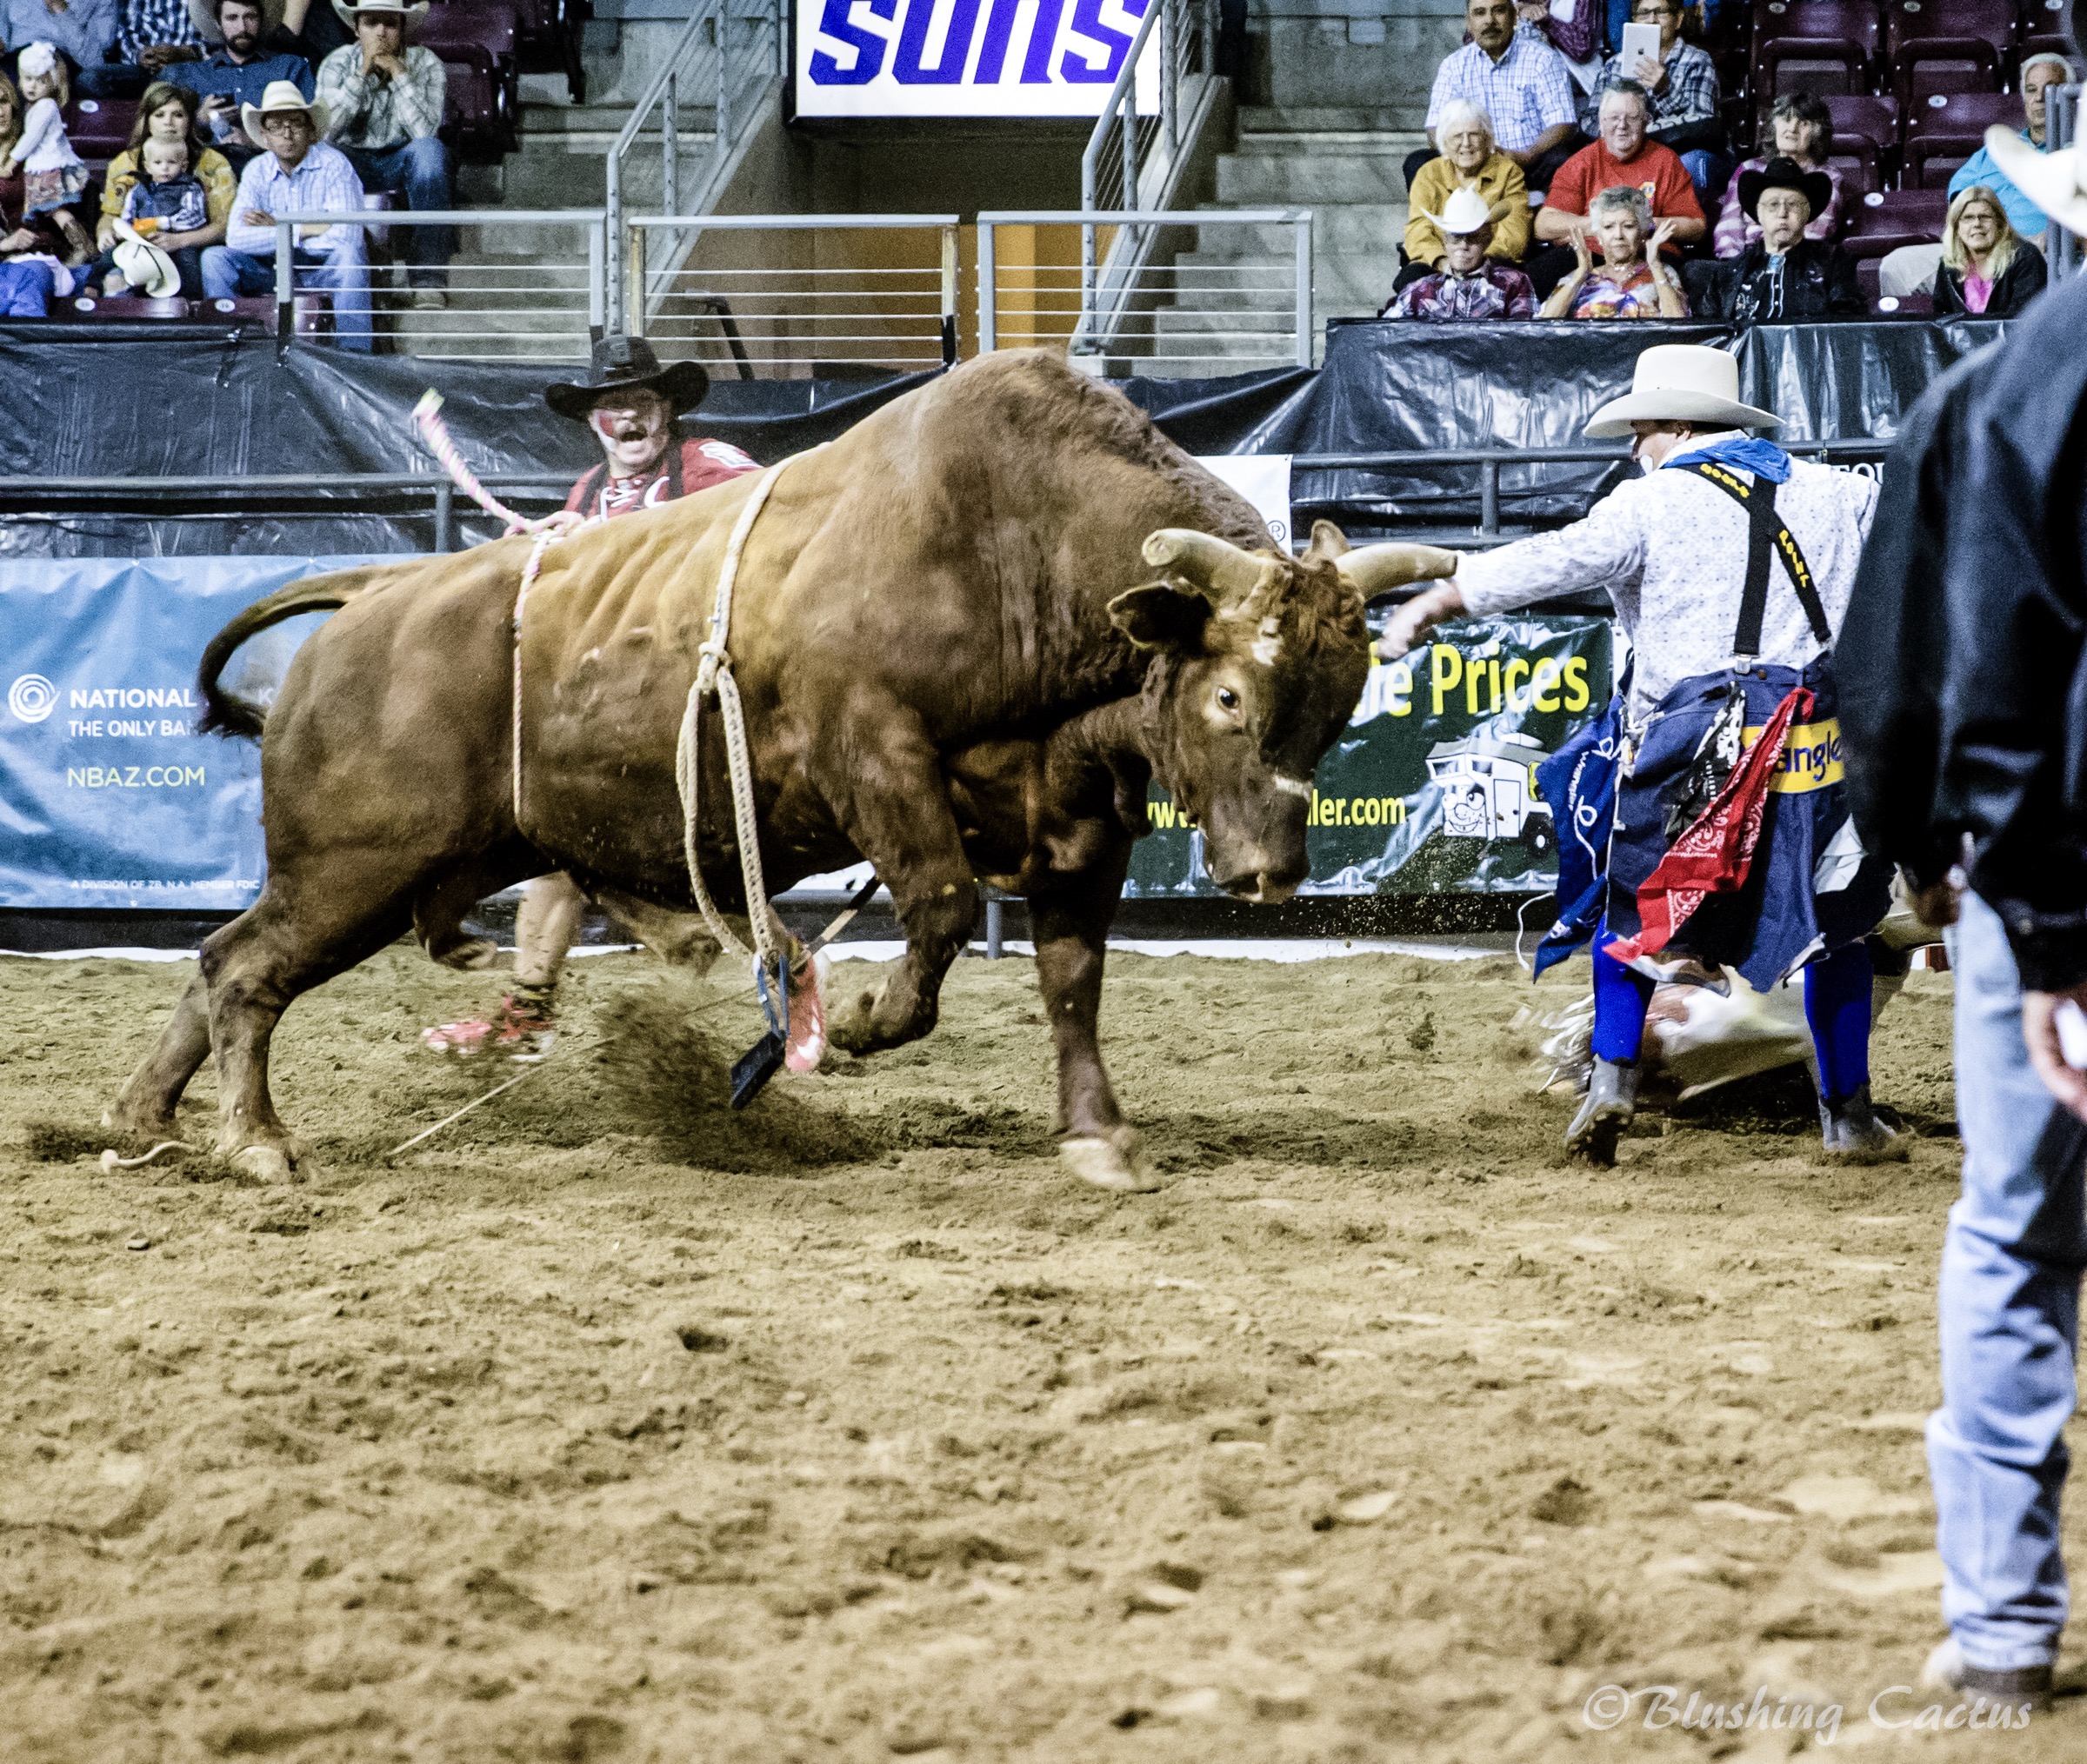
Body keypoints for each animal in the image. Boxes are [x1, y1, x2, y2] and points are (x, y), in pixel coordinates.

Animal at [105, 352, 1461, 1194]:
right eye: (1230, 695)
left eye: (1339, 709)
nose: (1271, 874)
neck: (1009, 553)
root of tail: (370, 596)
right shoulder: (874, 754)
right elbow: (942, 905)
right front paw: (853, 1021)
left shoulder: (1077, 823)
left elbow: (1071, 982)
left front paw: (1098, 1138)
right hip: (357, 867)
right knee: (245, 971)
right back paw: (255, 1141)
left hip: (405, 867)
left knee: (220, 959)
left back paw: (145, 1120)